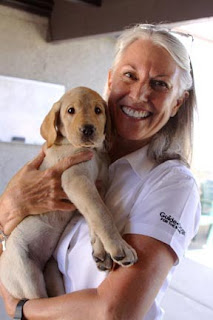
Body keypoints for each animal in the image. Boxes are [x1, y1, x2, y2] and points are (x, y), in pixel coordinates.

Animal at [0, 86, 136, 298]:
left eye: (98, 110)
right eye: (71, 111)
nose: (88, 129)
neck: (93, 152)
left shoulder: (97, 186)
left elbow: (95, 216)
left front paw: (100, 251)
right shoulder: (76, 181)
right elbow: (102, 214)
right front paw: (119, 246)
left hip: (50, 270)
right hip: (26, 276)